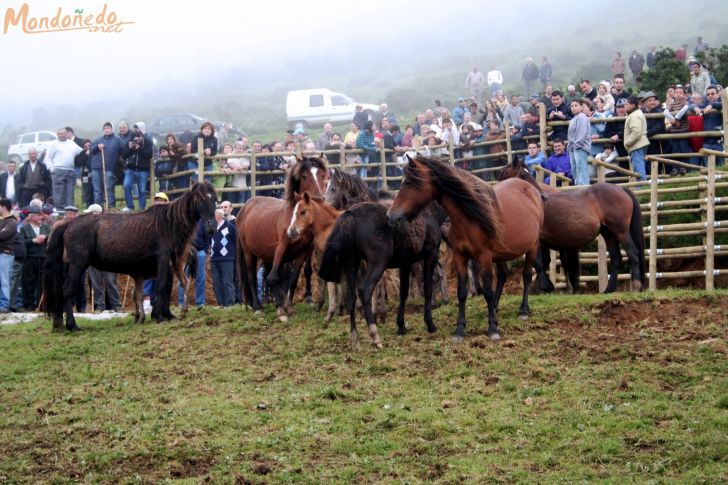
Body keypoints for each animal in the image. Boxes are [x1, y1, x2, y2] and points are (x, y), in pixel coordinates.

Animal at [44, 183, 216, 330]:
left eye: (214, 199)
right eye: (200, 198)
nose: (212, 227)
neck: (168, 224)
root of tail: (69, 224)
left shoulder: (171, 261)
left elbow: (166, 287)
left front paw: (166, 315)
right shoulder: (162, 258)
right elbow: (161, 286)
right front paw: (158, 316)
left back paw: (60, 323)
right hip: (78, 265)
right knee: (67, 290)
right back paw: (71, 325)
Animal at [236, 156, 328, 322]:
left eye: (322, 175)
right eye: (304, 175)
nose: (319, 198)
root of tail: (244, 208)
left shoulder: (303, 252)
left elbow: (293, 278)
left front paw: (288, 306)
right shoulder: (281, 247)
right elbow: (273, 278)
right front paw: (281, 307)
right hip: (248, 252)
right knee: (252, 276)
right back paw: (258, 307)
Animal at [390, 154, 544, 340]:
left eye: (408, 183)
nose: (391, 216)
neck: (470, 218)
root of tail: (531, 191)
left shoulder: (485, 257)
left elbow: (487, 291)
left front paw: (492, 329)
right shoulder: (460, 256)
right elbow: (462, 293)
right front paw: (460, 329)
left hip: (532, 246)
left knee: (527, 275)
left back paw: (523, 311)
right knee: (503, 275)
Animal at [498, 158, 644, 292]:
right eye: (523, 174)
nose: (543, 196)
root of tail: (621, 189)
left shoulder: (538, 241)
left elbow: (539, 262)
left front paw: (545, 286)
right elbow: (545, 263)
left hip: (621, 232)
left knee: (633, 253)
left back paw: (636, 285)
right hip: (609, 234)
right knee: (616, 259)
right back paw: (609, 289)